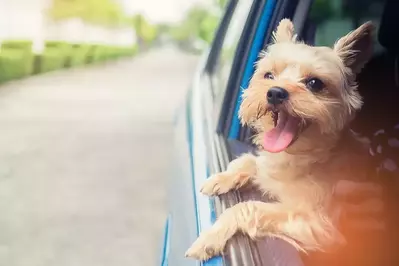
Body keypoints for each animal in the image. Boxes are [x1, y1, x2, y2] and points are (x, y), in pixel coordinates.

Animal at [186, 19, 380, 262]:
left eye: (315, 83)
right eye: (269, 75)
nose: (275, 92)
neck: (302, 158)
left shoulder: (319, 226)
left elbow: (247, 207)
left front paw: (211, 236)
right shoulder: (269, 169)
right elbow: (247, 162)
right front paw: (221, 178)